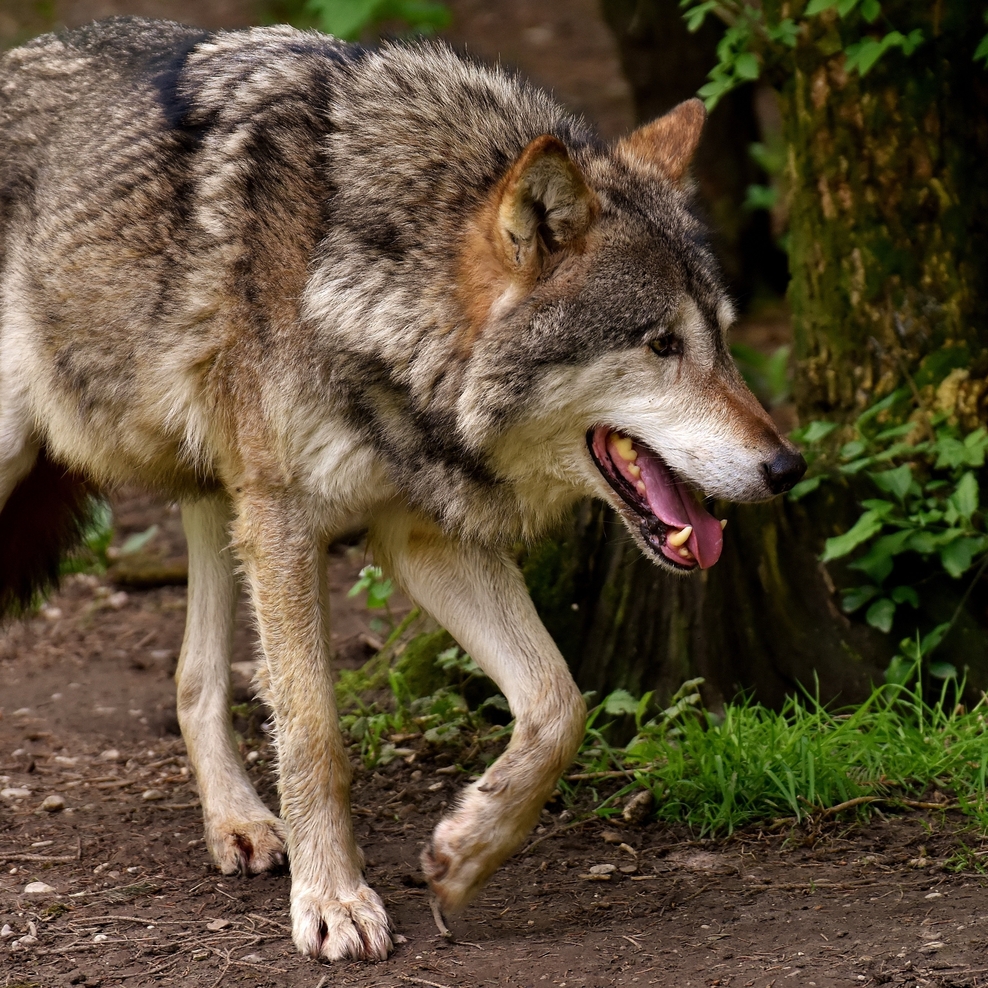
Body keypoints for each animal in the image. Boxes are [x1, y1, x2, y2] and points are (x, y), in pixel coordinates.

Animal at [0, 17, 805, 961]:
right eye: (661, 345)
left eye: (723, 338)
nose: (786, 468)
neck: (365, 284)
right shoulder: (286, 522)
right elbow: (315, 732)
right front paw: (334, 900)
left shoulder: (420, 535)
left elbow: (558, 704)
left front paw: (467, 852)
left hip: (217, 496)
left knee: (195, 679)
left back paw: (240, 824)